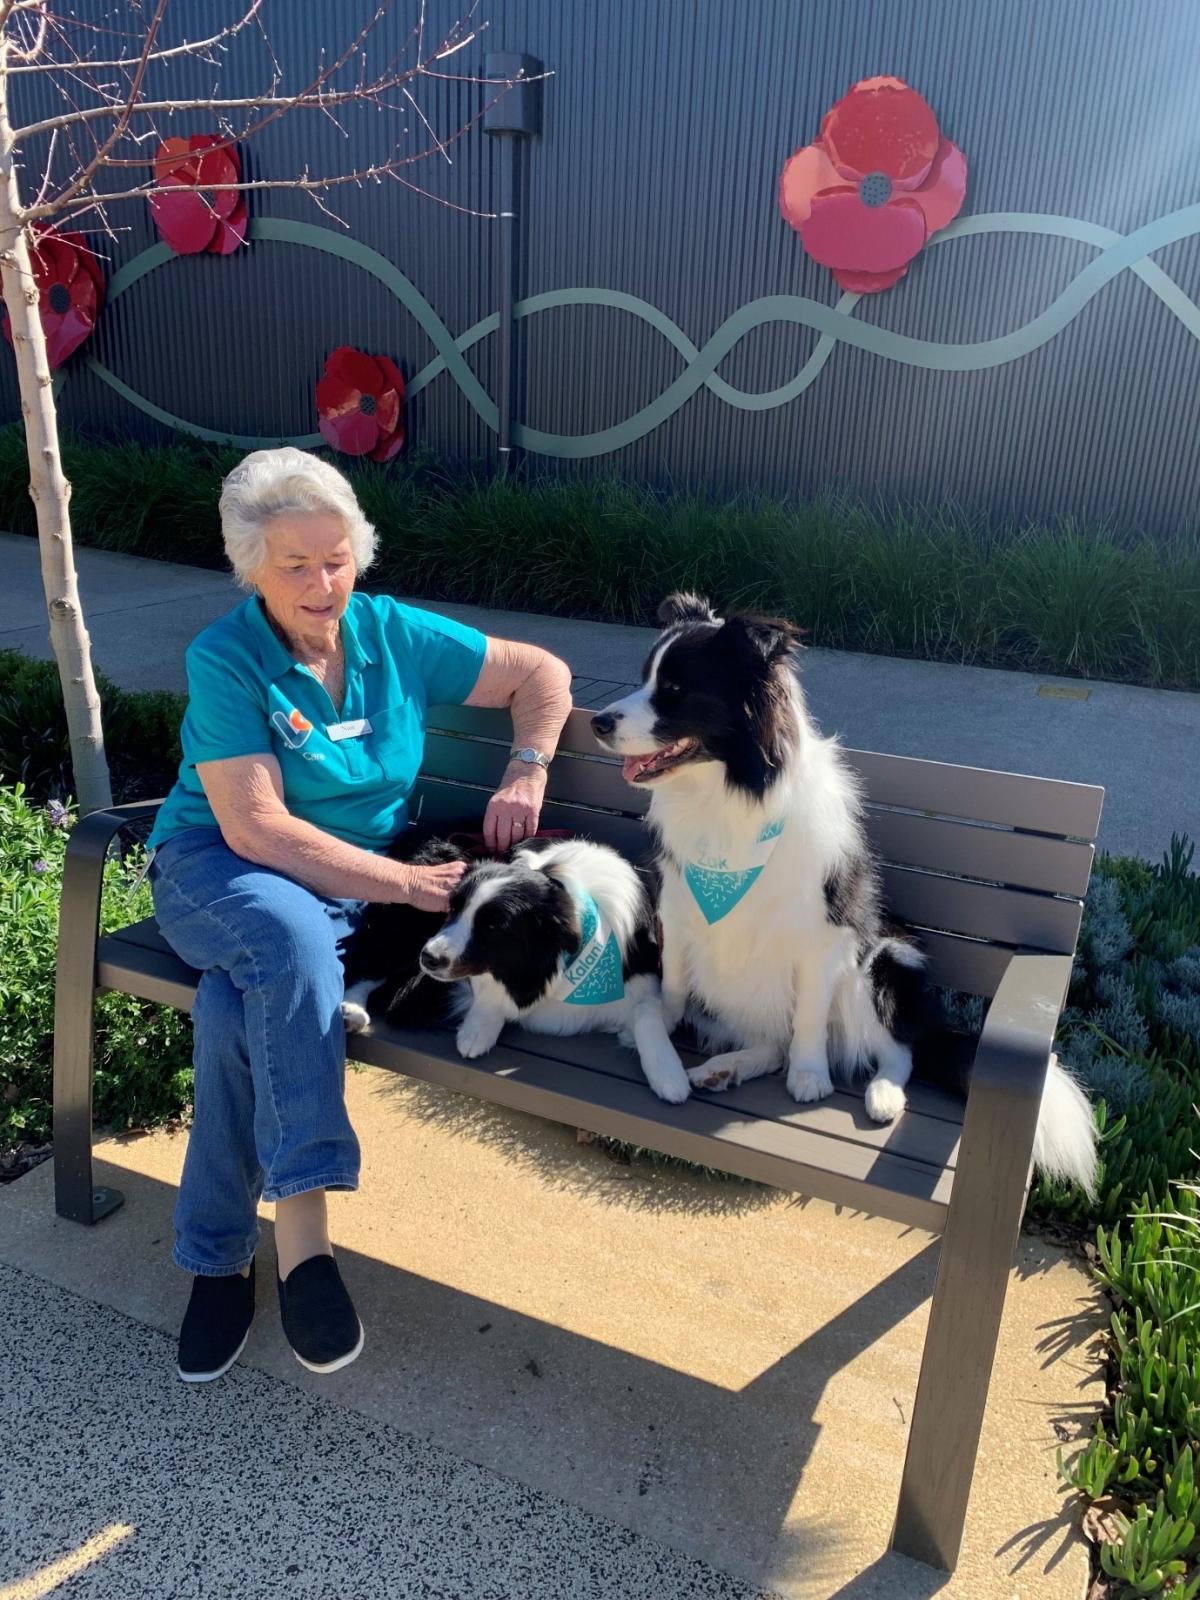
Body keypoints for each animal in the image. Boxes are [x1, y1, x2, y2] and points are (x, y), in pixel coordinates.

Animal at [342, 832, 691, 1107]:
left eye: (494, 926)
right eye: (452, 908)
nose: (428, 958)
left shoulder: (643, 975)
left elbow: (649, 1016)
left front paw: (669, 1073)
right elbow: (488, 990)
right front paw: (478, 1028)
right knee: (369, 960)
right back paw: (353, 1009)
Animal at [588, 595, 1100, 1196]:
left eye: (674, 689)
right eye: (643, 678)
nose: (597, 722)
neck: (729, 797)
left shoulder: (824, 937)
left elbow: (809, 1015)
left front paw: (810, 1075)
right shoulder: (679, 912)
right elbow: (669, 986)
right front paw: (664, 1039)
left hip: (877, 963)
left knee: (898, 1049)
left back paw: (882, 1094)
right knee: (772, 1040)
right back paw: (726, 1066)